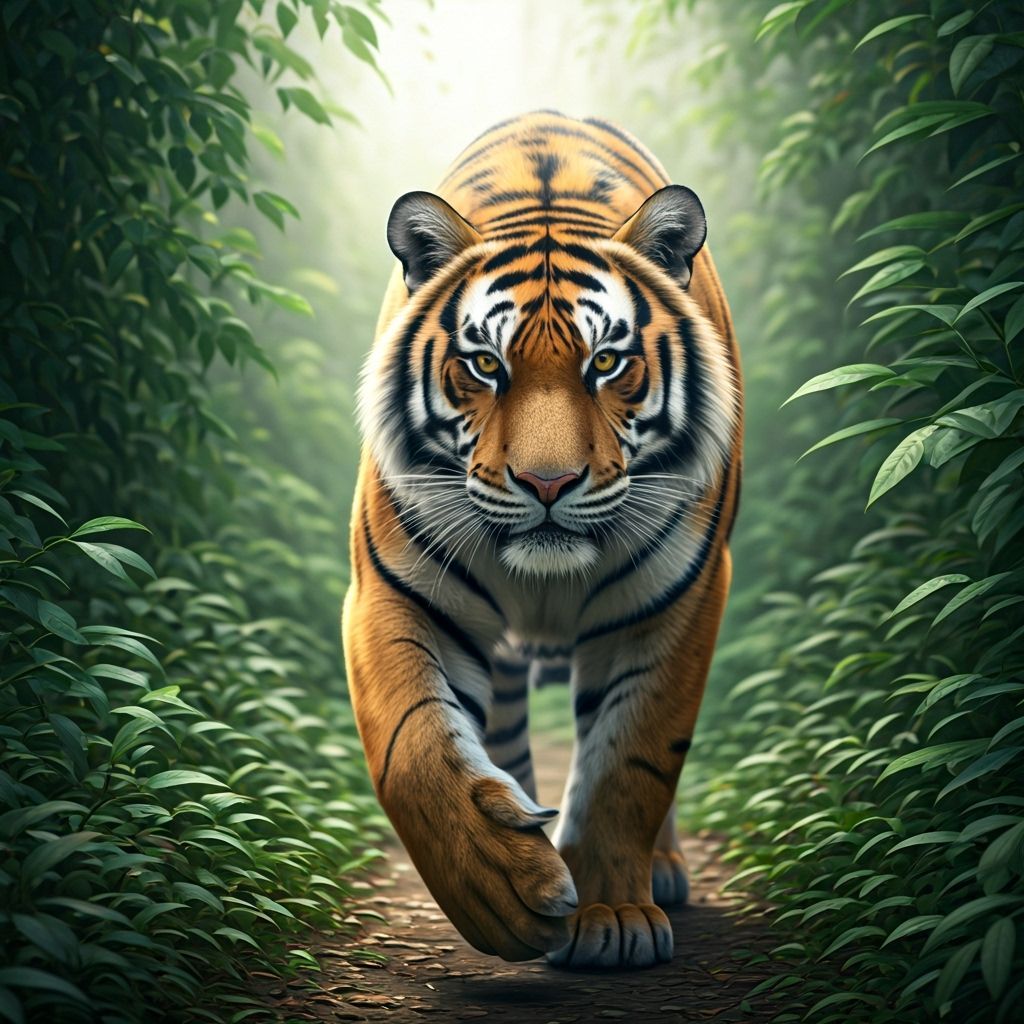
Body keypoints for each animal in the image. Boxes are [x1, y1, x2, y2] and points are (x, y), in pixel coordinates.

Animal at [342, 110, 742, 969]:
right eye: (485, 364)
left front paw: (613, 917)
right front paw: (501, 888)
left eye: (608, 362)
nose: (548, 483)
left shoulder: (679, 598)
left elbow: (632, 760)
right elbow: (412, 744)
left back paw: (658, 870)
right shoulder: (393, 590)